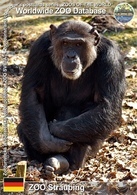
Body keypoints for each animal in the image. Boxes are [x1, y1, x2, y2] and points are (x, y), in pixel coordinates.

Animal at [17, 20, 125, 176]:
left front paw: (55, 128)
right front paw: (49, 142)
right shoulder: (38, 48)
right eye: (65, 43)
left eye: (79, 44)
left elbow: (107, 105)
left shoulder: (112, 58)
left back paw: (62, 162)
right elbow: (33, 94)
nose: (71, 56)